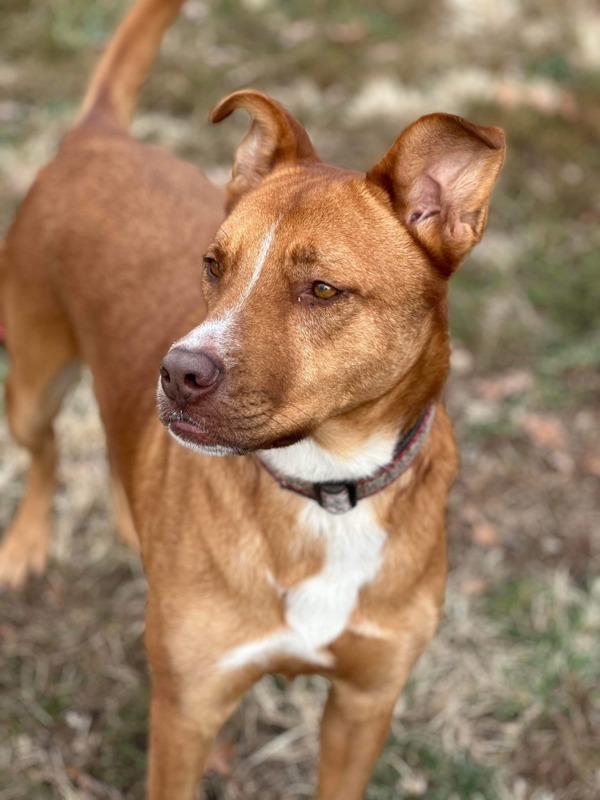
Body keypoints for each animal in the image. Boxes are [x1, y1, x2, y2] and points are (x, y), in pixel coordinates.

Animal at [1, 1, 506, 800]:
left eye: (321, 289)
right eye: (213, 265)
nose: (175, 372)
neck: (325, 489)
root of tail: (98, 137)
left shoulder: (365, 702)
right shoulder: (187, 711)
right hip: (32, 380)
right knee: (45, 451)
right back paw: (25, 544)